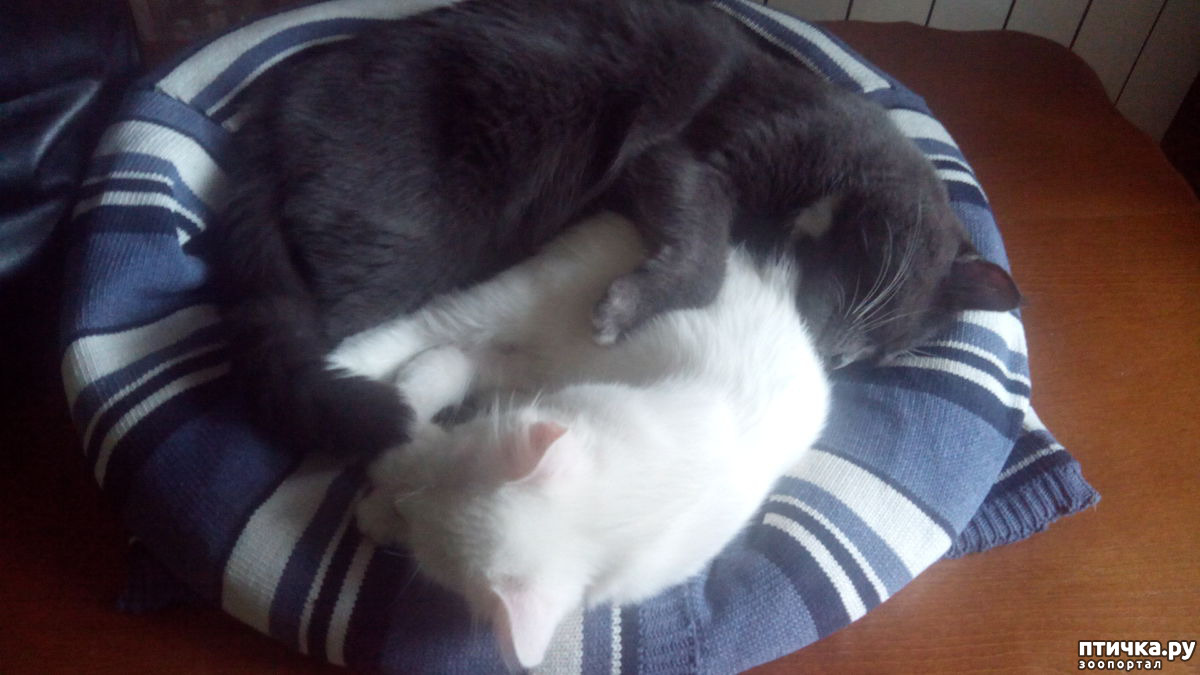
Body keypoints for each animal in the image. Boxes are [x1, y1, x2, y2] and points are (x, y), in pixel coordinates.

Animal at [208, 0, 1019, 456]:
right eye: (884, 321)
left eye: (873, 362)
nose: (839, 356)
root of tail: (272, 119)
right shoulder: (686, 154)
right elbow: (706, 255)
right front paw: (625, 309)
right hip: (427, 226)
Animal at [332, 212, 829, 670]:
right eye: (453, 467)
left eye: (426, 555)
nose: (401, 505)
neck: (643, 496)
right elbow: (416, 428)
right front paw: (388, 449)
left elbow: (435, 418)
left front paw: (380, 505)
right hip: (528, 293)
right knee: (432, 324)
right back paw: (343, 366)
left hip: (543, 355)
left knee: (471, 350)